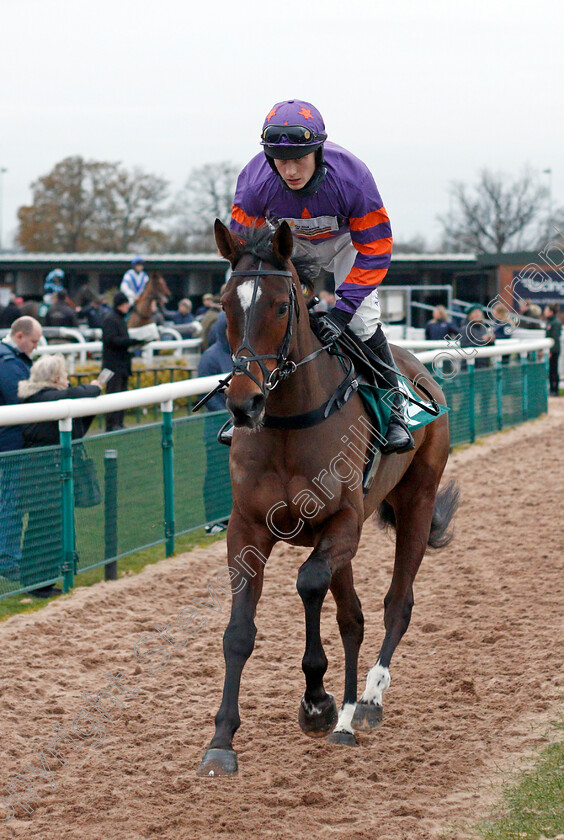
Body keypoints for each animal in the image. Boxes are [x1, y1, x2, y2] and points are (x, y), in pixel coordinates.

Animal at [196, 220, 460, 776]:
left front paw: (317, 701)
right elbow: (239, 631)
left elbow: (308, 584)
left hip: (418, 500)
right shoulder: (246, 529)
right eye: (227, 304)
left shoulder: (342, 522)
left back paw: (369, 701)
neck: (288, 423)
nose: (244, 403)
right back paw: (348, 714)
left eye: (281, 305)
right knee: (353, 616)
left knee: (396, 603)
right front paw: (222, 740)